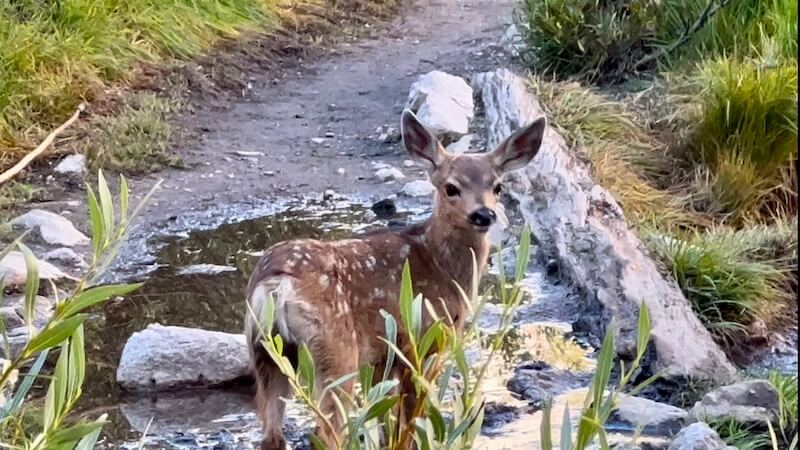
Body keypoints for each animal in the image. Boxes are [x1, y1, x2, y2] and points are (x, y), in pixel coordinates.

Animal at [244, 109, 546, 450]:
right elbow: (411, 421)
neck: (441, 265)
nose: (483, 214)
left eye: (497, 187)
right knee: (327, 430)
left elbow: (387, 422)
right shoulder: (423, 339)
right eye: (451, 187)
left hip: (264, 350)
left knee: (272, 433)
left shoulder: (383, 356)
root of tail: (276, 284)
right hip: (335, 348)